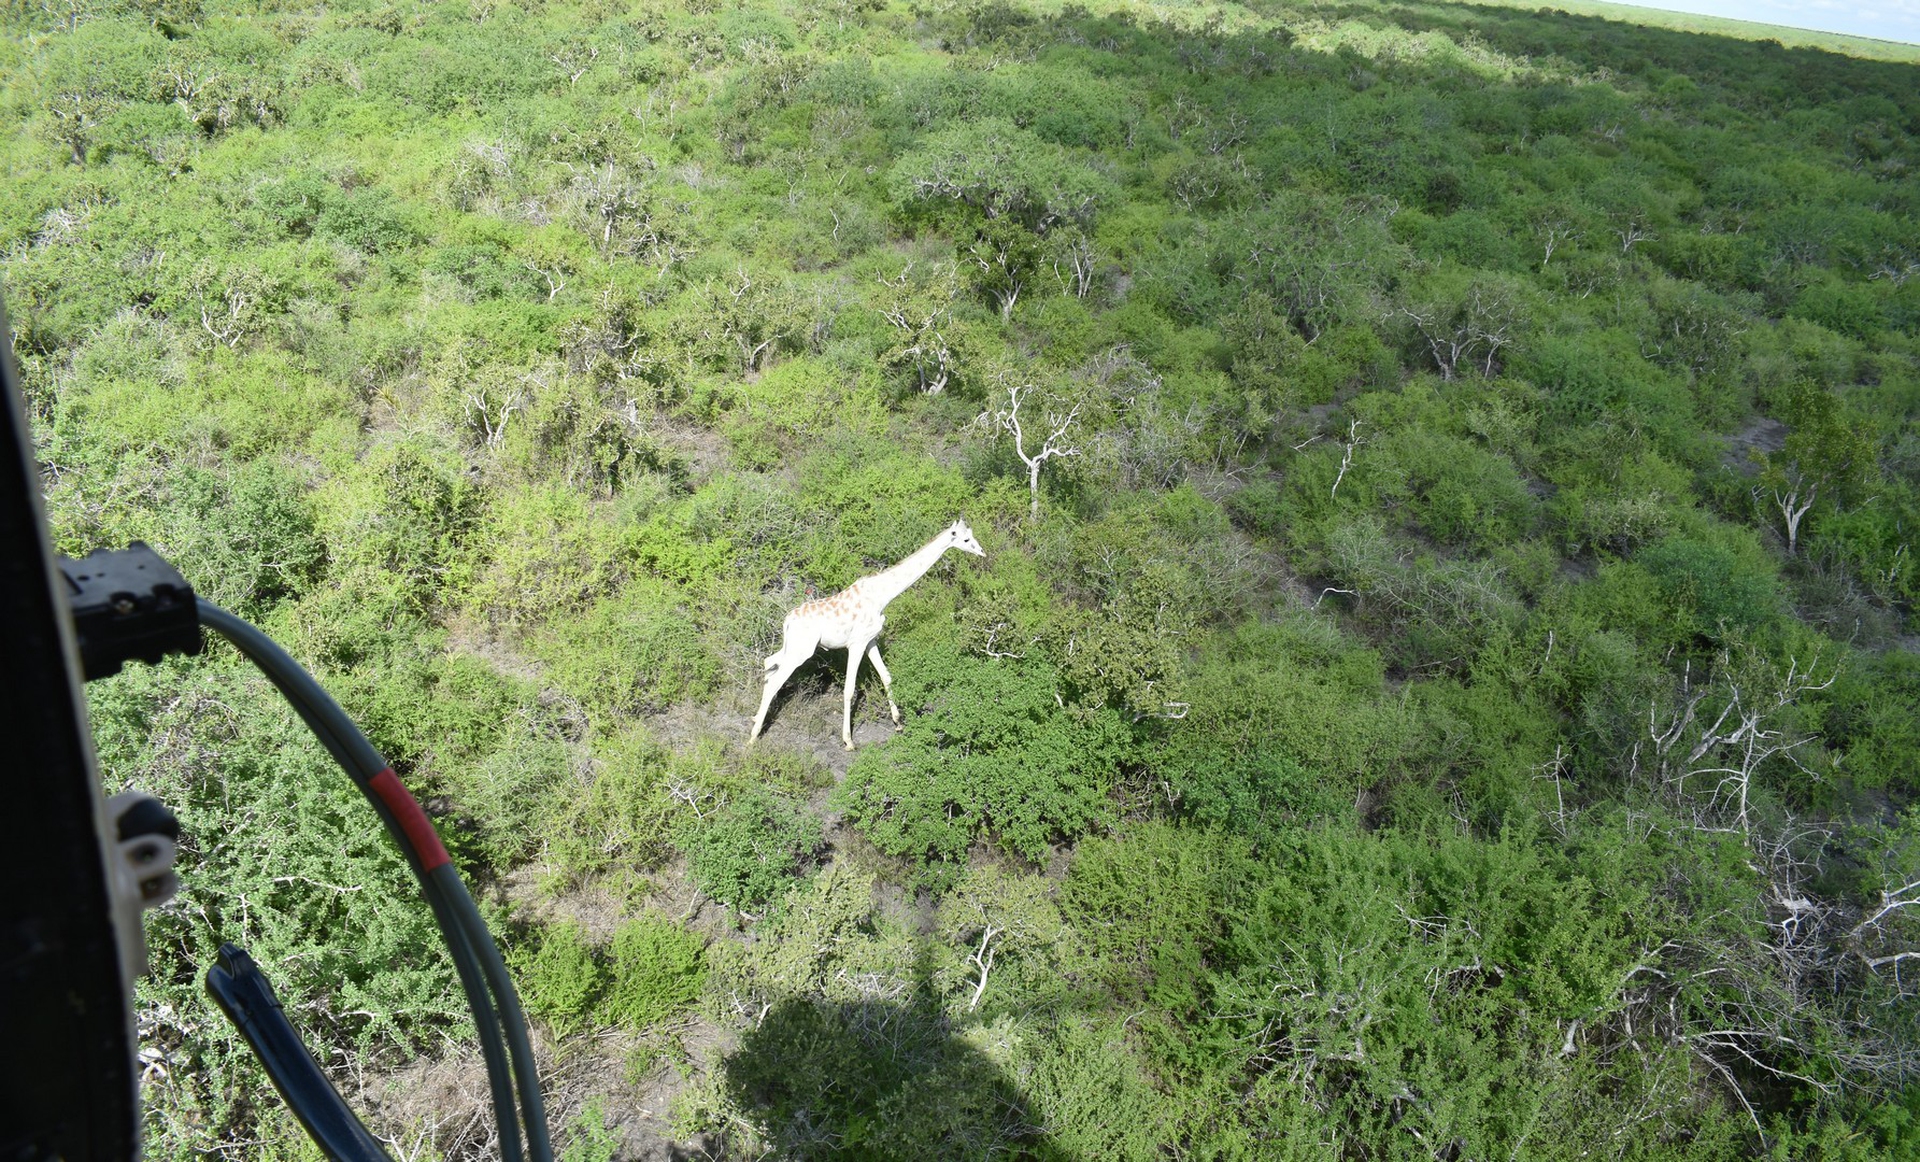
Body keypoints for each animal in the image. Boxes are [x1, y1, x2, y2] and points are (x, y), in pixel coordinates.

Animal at [750, 519, 986, 750]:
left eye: (972, 534)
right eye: (966, 539)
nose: (982, 552)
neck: (882, 595)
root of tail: (787, 621)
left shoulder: (871, 640)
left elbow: (886, 675)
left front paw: (898, 723)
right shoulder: (856, 643)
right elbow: (849, 689)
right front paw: (848, 741)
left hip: (793, 646)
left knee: (768, 662)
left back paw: (755, 720)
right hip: (802, 650)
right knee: (775, 680)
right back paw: (753, 736)